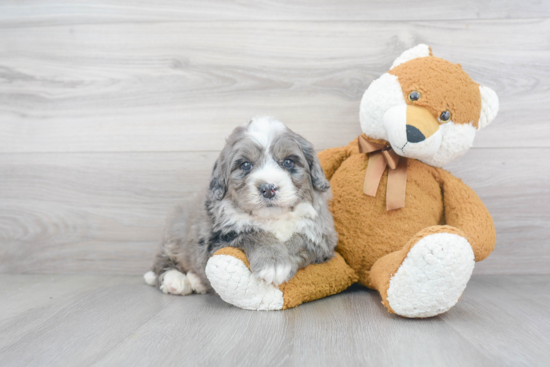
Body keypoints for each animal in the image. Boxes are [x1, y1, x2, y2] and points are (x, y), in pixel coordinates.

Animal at [144, 117, 338, 296]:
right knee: (162, 262)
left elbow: (300, 240)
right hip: (175, 233)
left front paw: (281, 263)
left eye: (288, 162)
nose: (268, 189)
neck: (271, 218)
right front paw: (272, 261)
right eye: (246, 165)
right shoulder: (215, 238)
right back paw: (176, 281)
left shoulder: (323, 237)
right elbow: (253, 232)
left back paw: (196, 281)